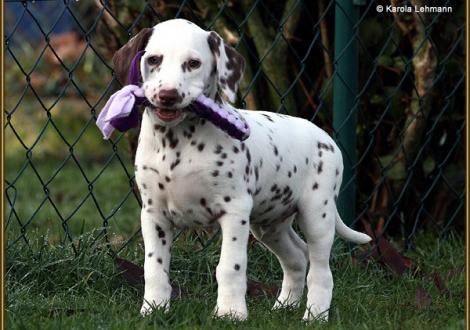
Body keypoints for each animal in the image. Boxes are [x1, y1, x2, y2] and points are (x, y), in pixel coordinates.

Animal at [112, 18, 372, 322]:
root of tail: (326, 138)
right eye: (153, 59)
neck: (178, 143)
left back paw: (315, 316)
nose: (168, 95)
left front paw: (230, 313)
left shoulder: (234, 211)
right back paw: (285, 305)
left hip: (317, 215)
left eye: (193, 63)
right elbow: (154, 267)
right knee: (297, 257)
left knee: (321, 270)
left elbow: (230, 267)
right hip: (271, 225)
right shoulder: (154, 214)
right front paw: (153, 309)